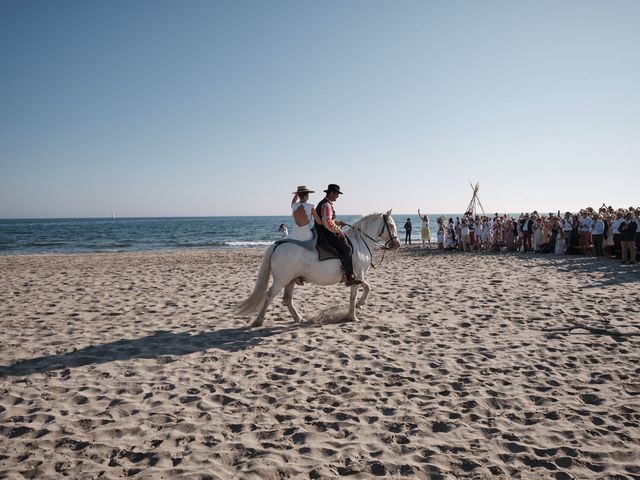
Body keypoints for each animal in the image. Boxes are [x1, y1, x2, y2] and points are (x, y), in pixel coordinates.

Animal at [238, 212, 398, 328]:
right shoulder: (358, 275)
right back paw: (258, 321)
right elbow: (359, 293)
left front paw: (357, 307)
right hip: (281, 280)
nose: (397, 244)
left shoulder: (358, 277)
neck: (360, 243)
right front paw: (354, 315)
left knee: (287, 299)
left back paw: (299, 318)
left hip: (290, 280)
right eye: (391, 225)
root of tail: (278, 245)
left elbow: (365, 288)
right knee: (269, 296)